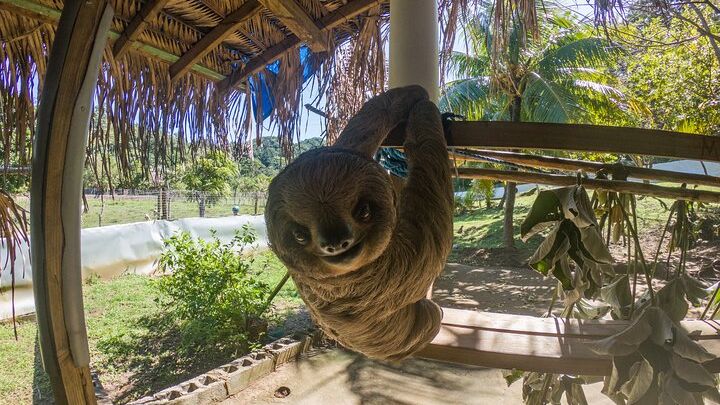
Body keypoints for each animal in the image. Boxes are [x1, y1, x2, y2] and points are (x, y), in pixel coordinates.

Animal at [265, 85, 453, 361]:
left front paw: (412, 93)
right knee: (431, 316)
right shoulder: (407, 260)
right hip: (415, 333)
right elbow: (432, 195)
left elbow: (360, 132)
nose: (335, 242)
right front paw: (427, 109)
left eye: (363, 211)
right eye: (300, 235)